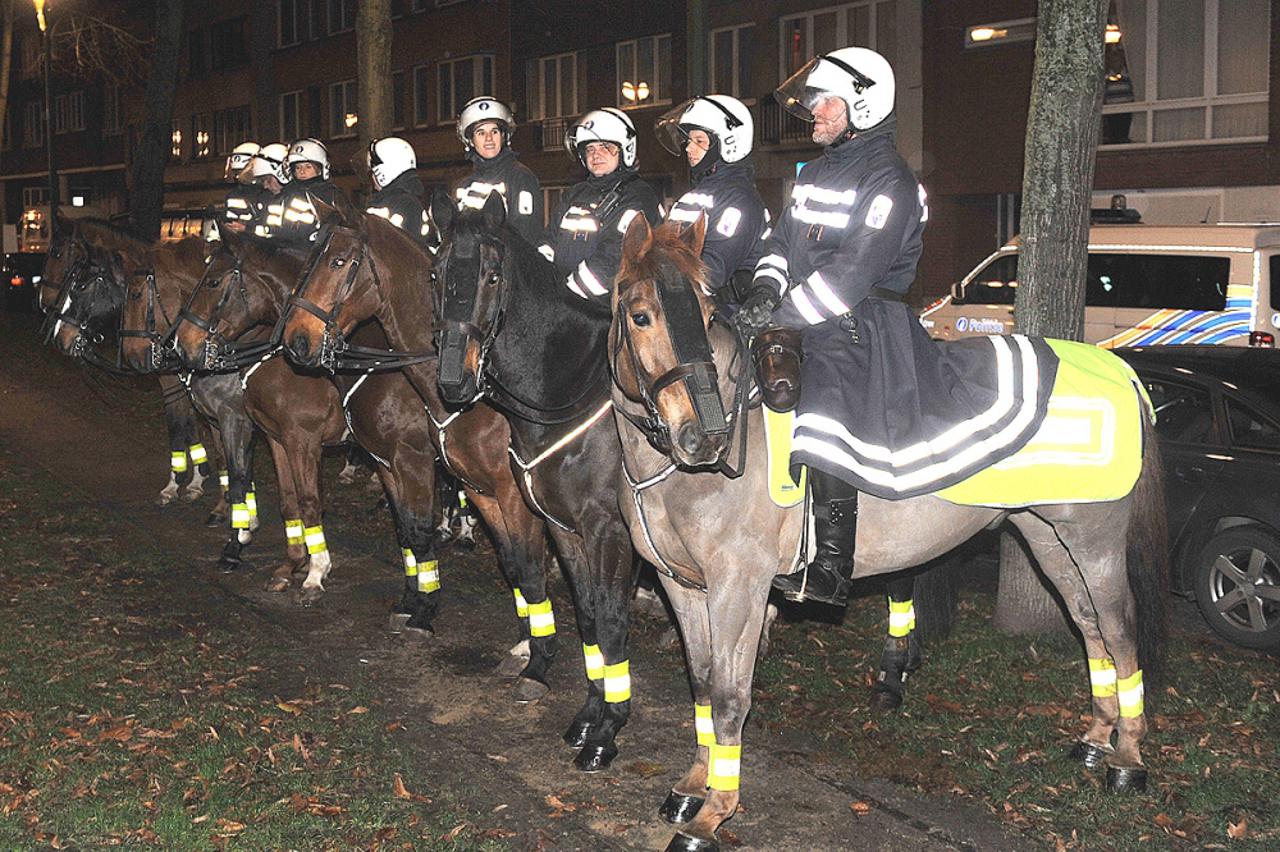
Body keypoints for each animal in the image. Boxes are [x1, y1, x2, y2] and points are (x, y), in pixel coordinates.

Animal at [609, 217, 1172, 849]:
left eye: (708, 314)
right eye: (640, 316)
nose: (701, 438)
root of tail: (1121, 370)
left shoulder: (740, 588)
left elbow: (731, 696)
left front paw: (713, 814)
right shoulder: (683, 586)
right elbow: (703, 683)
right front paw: (691, 786)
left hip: (1095, 543)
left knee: (1121, 630)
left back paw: (1128, 759)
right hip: (1050, 538)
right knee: (1089, 625)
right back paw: (1096, 739)